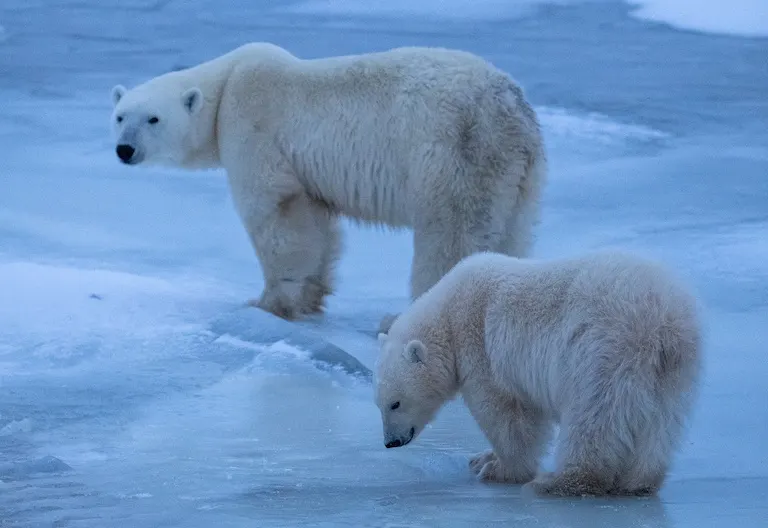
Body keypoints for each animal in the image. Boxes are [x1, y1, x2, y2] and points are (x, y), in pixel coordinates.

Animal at [109, 43, 546, 321]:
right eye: (120, 115)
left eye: (153, 119)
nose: (124, 150)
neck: (228, 82)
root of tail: (511, 107)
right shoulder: (308, 174)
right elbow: (318, 224)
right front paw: (311, 297)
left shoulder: (255, 127)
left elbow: (276, 213)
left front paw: (266, 303)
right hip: (518, 175)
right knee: (512, 234)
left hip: (454, 156)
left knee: (450, 237)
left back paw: (401, 318)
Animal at [374, 250, 702, 497]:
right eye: (379, 405)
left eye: (395, 403)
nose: (390, 442)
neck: (448, 315)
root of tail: (662, 318)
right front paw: (482, 458)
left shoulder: (480, 347)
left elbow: (506, 414)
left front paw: (499, 469)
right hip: (673, 367)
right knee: (660, 422)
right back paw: (639, 481)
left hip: (604, 351)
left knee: (594, 414)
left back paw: (558, 482)